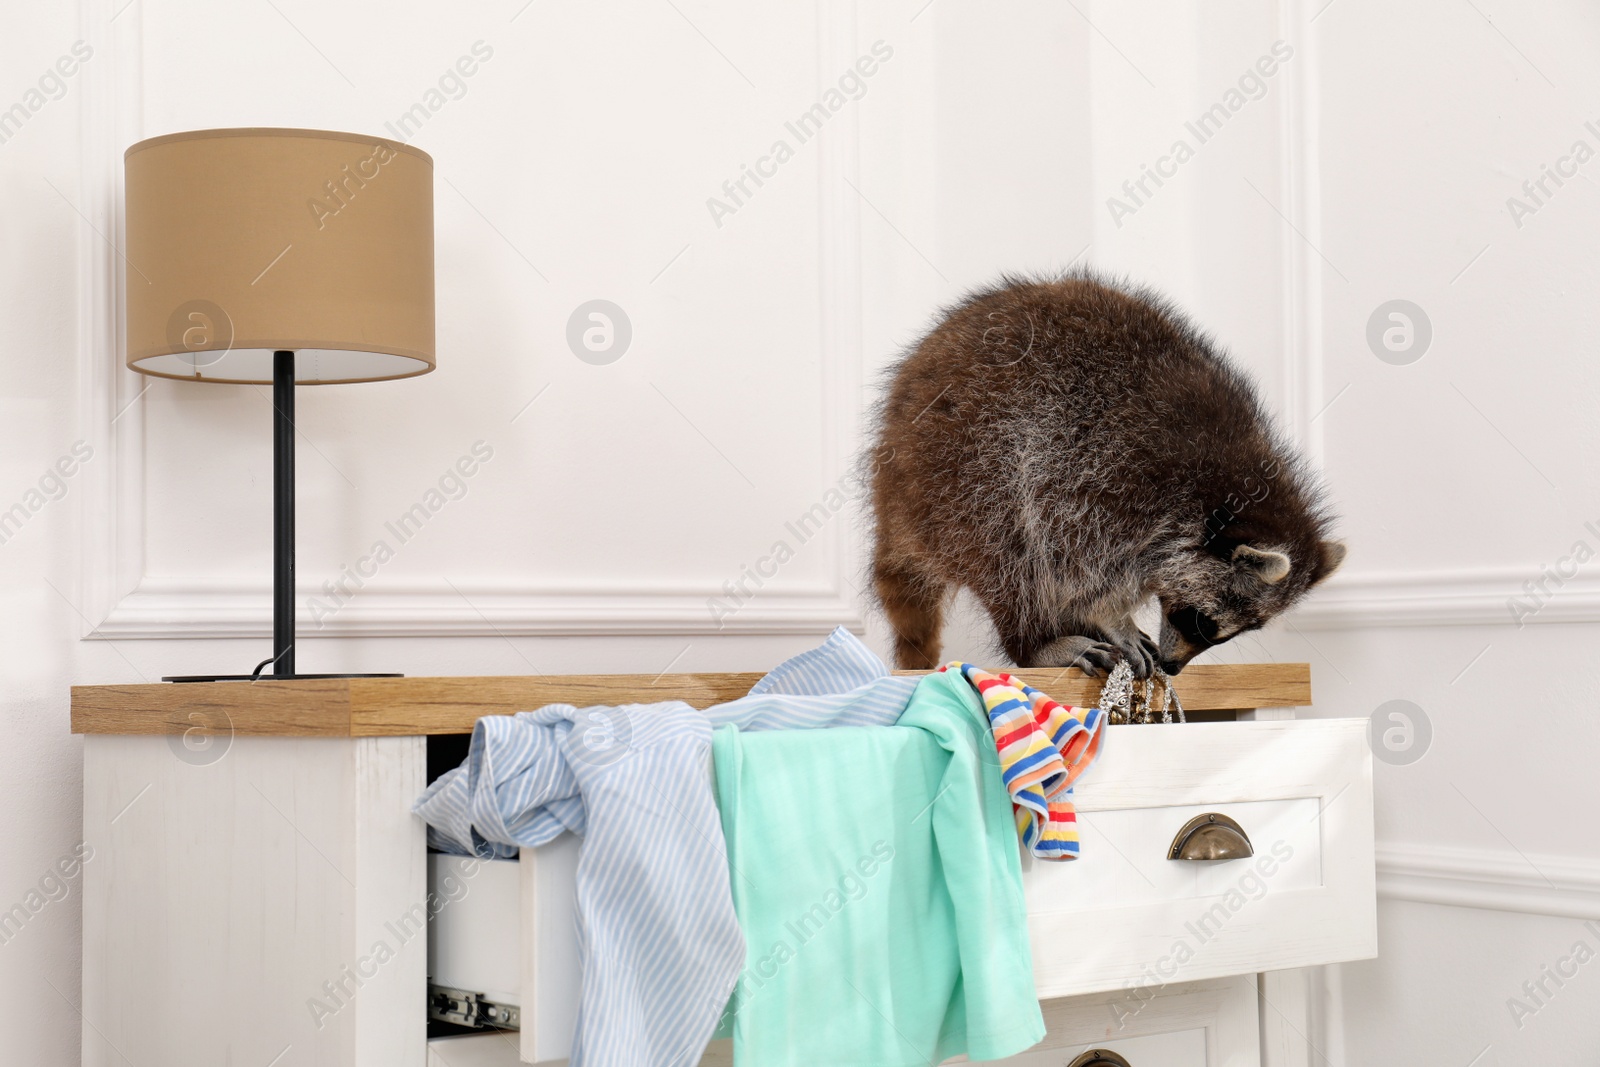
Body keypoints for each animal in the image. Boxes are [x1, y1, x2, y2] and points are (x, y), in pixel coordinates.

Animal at [870, 273, 1344, 675]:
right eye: (1203, 621)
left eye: (1219, 632)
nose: (1174, 667)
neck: (1226, 483)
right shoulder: (1103, 467)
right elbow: (1071, 551)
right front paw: (1109, 614)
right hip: (960, 465)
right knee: (1010, 548)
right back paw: (1034, 641)